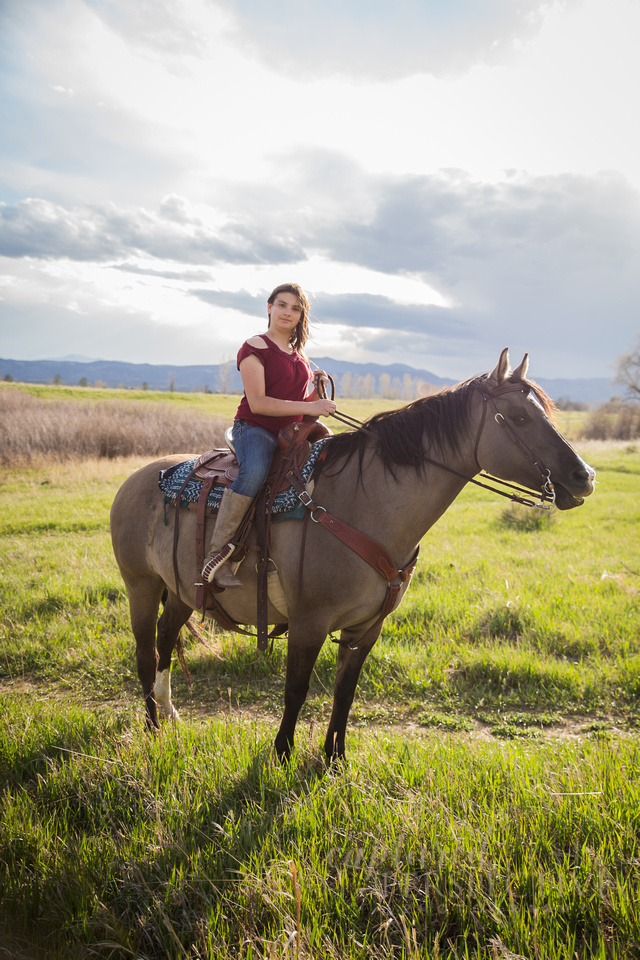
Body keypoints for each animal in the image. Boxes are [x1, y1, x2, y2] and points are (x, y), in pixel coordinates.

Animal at [109, 348, 596, 760]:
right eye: (518, 417)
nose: (585, 476)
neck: (364, 504)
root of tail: (138, 478)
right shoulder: (309, 622)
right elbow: (296, 689)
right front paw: (281, 755)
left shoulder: (367, 627)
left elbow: (346, 690)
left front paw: (334, 758)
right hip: (141, 586)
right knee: (146, 653)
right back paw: (152, 728)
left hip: (181, 591)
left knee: (166, 642)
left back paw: (170, 715)